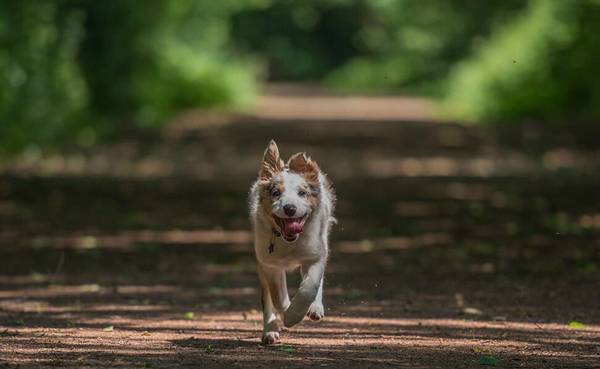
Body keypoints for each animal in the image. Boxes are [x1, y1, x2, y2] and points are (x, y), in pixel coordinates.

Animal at [247, 139, 336, 344]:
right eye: (276, 193)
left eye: (302, 193)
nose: (289, 208)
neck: (289, 242)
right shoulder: (269, 263)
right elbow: (277, 296)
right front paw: (287, 314)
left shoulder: (315, 255)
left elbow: (310, 287)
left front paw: (296, 314)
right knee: (267, 299)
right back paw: (270, 330)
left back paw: (315, 309)